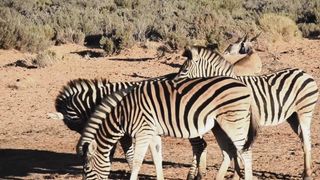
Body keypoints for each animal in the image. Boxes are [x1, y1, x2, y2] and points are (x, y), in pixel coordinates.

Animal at [76, 76, 256, 180]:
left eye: (86, 169)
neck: (122, 114)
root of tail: (243, 85)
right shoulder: (153, 133)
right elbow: (157, 159)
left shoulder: (143, 131)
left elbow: (137, 161)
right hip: (219, 125)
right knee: (228, 152)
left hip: (234, 121)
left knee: (245, 152)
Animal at [176, 41, 318, 179]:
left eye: (185, 70)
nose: (175, 84)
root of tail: (303, 72)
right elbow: (235, 150)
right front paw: (237, 175)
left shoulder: (240, 120)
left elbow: (237, 150)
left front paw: (236, 175)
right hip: (293, 116)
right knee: (303, 139)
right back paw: (305, 172)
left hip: (304, 112)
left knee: (307, 140)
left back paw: (308, 174)